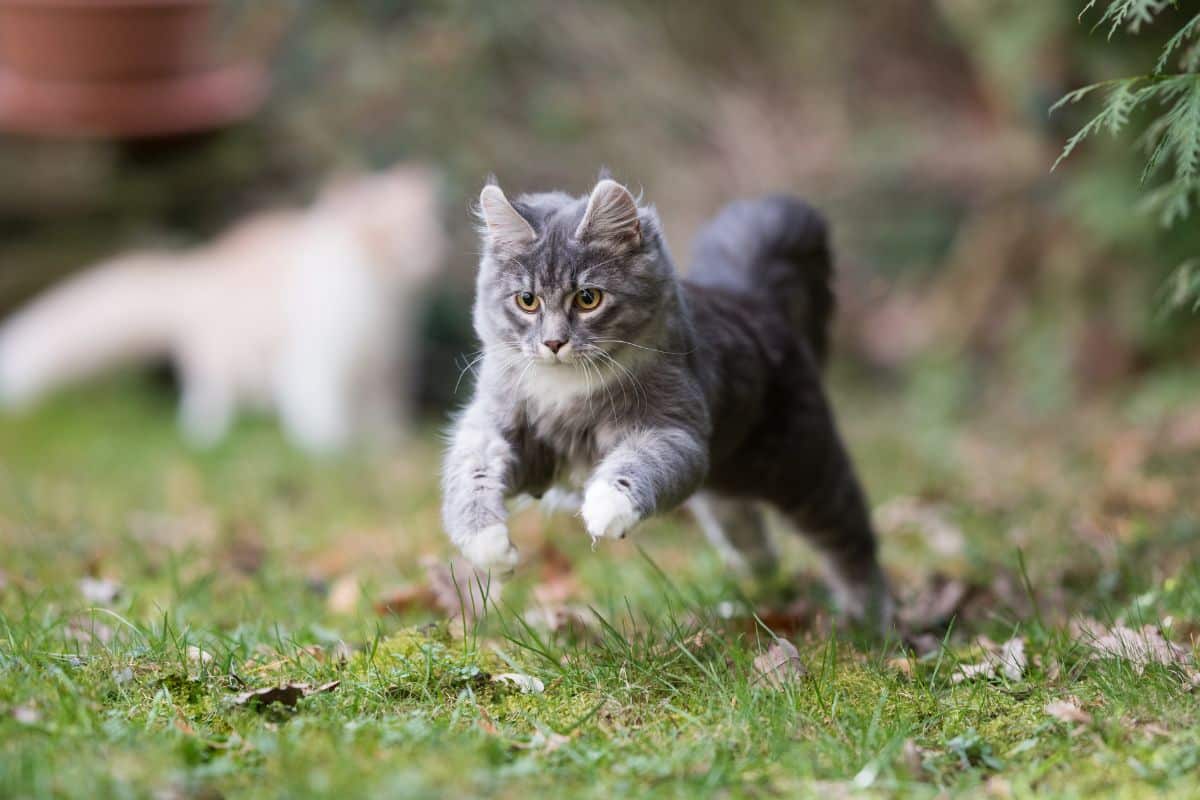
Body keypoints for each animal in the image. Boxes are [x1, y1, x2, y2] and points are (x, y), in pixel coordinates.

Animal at [0, 165, 446, 453]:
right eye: (388, 234)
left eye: (427, 229)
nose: (429, 254)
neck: (383, 300)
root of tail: (198, 268)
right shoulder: (315, 355)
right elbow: (319, 404)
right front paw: (331, 446)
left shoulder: (388, 364)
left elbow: (382, 410)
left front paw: (385, 441)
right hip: (219, 359)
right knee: (206, 396)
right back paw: (208, 432)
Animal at [441, 175, 892, 623]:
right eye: (527, 301)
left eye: (588, 298)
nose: (554, 343)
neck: (565, 390)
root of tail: (753, 297)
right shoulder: (504, 431)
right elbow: (470, 478)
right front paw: (491, 549)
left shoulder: (673, 429)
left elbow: (636, 463)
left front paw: (604, 507)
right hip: (725, 482)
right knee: (747, 529)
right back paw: (755, 581)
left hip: (799, 466)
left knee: (850, 533)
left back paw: (869, 617)